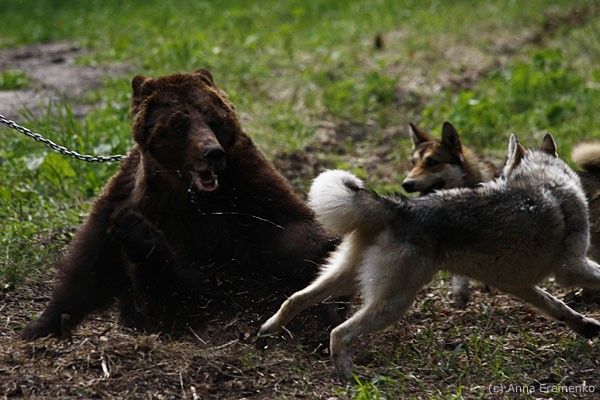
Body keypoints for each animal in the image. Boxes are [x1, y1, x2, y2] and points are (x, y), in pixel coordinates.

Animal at [21, 68, 337, 340]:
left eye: (212, 118)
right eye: (180, 123)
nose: (212, 153)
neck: (191, 192)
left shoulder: (252, 187)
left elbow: (295, 231)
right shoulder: (139, 199)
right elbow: (94, 270)